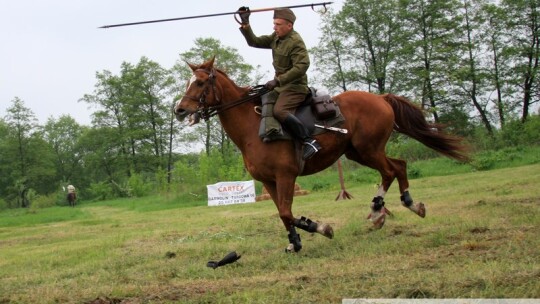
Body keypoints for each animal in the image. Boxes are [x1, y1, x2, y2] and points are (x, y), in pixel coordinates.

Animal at [174, 57, 468, 252]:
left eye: (200, 82)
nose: (179, 110)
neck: (252, 128)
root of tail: (381, 98)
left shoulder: (286, 176)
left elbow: (287, 212)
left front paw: (320, 228)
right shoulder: (269, 181)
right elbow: (283, 213)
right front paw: (295, 242)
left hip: (369, 149)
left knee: (391, 170)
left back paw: (388, 210)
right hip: (359, 153)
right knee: (399, 166)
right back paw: (397, 207)